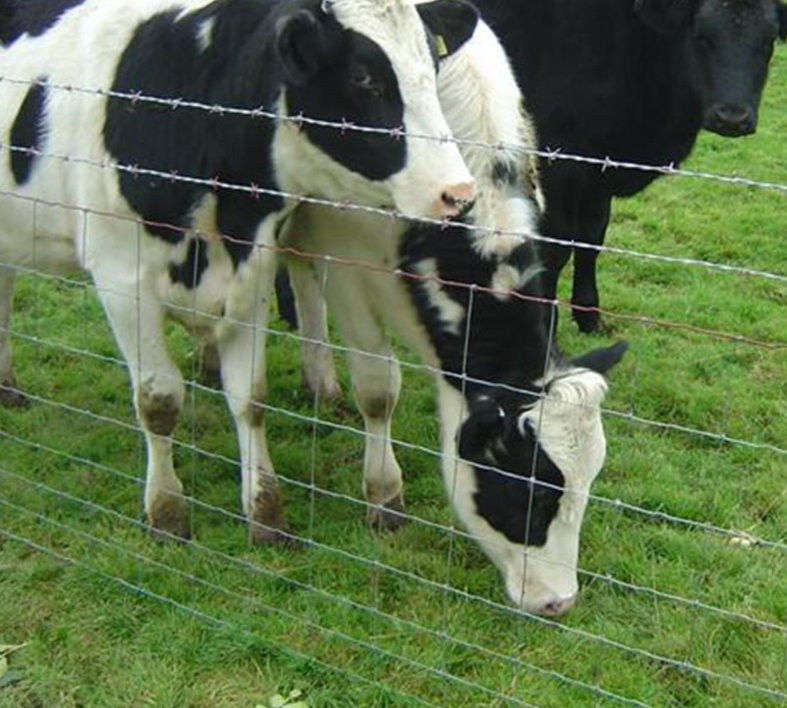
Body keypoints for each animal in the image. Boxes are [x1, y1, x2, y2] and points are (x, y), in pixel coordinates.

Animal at [0, 0, 480, 540]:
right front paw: (166, 510)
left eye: (433, 66)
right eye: (363, 77)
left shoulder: (252, 273)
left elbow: (250, 398)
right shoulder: (121, 281)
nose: (458, 193)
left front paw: (265, 511)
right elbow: (158, 401)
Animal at [284, 22, 628, 612]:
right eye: (527, 488)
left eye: (590, 482)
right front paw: (385, 495)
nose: (559, 602)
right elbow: (378, 389)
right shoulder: (346, 258)